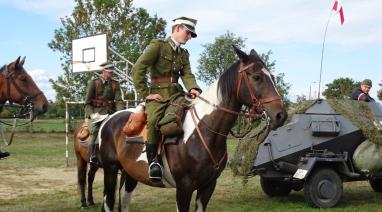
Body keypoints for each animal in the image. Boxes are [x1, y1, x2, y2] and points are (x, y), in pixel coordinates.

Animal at [97, 47, 286, 211]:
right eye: (256, 77)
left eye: (273, 77)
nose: (281, 115)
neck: (203, 133)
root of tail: (109, 119)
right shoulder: (184, 188)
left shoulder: (208, 187)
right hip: (110, 171)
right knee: (108, 203)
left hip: (130, 175)